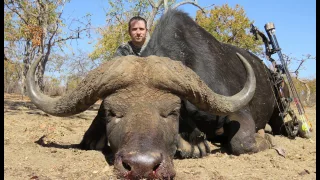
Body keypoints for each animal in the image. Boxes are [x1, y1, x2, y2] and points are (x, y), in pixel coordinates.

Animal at [28, 9, 282, 180]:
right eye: (112, 113)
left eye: (171, 113)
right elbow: (90, 140)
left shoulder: (239, 113)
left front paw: (266, 139)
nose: (142, 166)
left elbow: (242, 142)